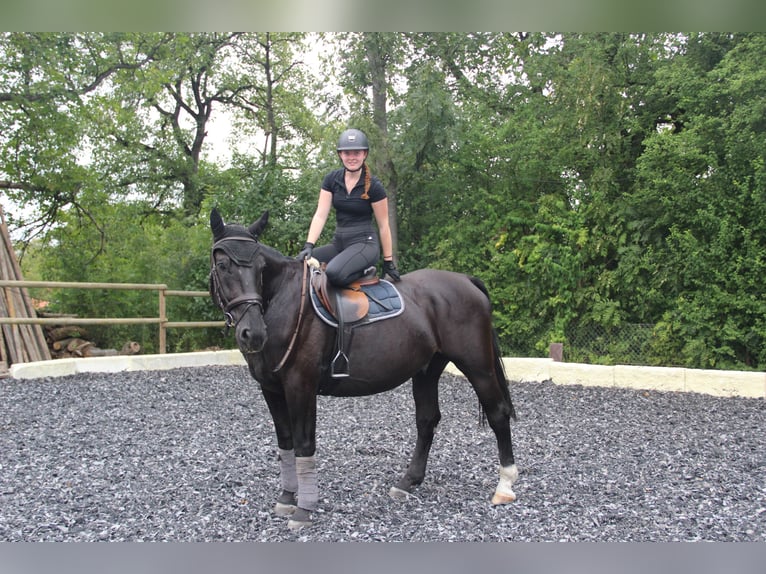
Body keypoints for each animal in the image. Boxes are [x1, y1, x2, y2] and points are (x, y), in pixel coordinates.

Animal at [210, 210, 520, 532]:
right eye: (223, 266)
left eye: (260, 268)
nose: (253, 333)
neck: (285, 301)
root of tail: (466, 280)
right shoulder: (270, 388)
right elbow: (285, 441)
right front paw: (286, 498)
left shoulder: (301, 385)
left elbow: (304, 443)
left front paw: (304, 509)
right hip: (426, 370)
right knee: (427, 420)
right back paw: (408, 482)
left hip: (478, 366)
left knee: (497, 413)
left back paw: (504, 486)